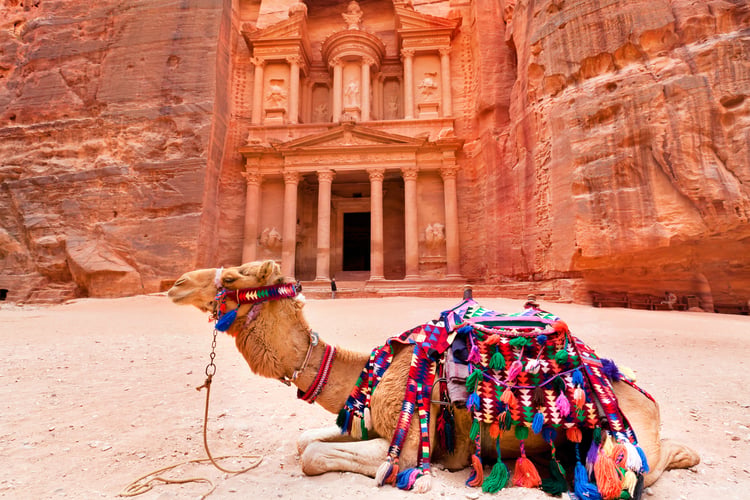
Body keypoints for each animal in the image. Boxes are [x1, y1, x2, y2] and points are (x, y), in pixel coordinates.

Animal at [168, 260, 699, 495]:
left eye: (232, 276)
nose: (175, 283)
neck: (371, 371)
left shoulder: (404, 441)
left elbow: (317, 457)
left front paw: (415, 479)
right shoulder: (365, 419)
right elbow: (303, 441)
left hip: (623, 440)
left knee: (644, 464)